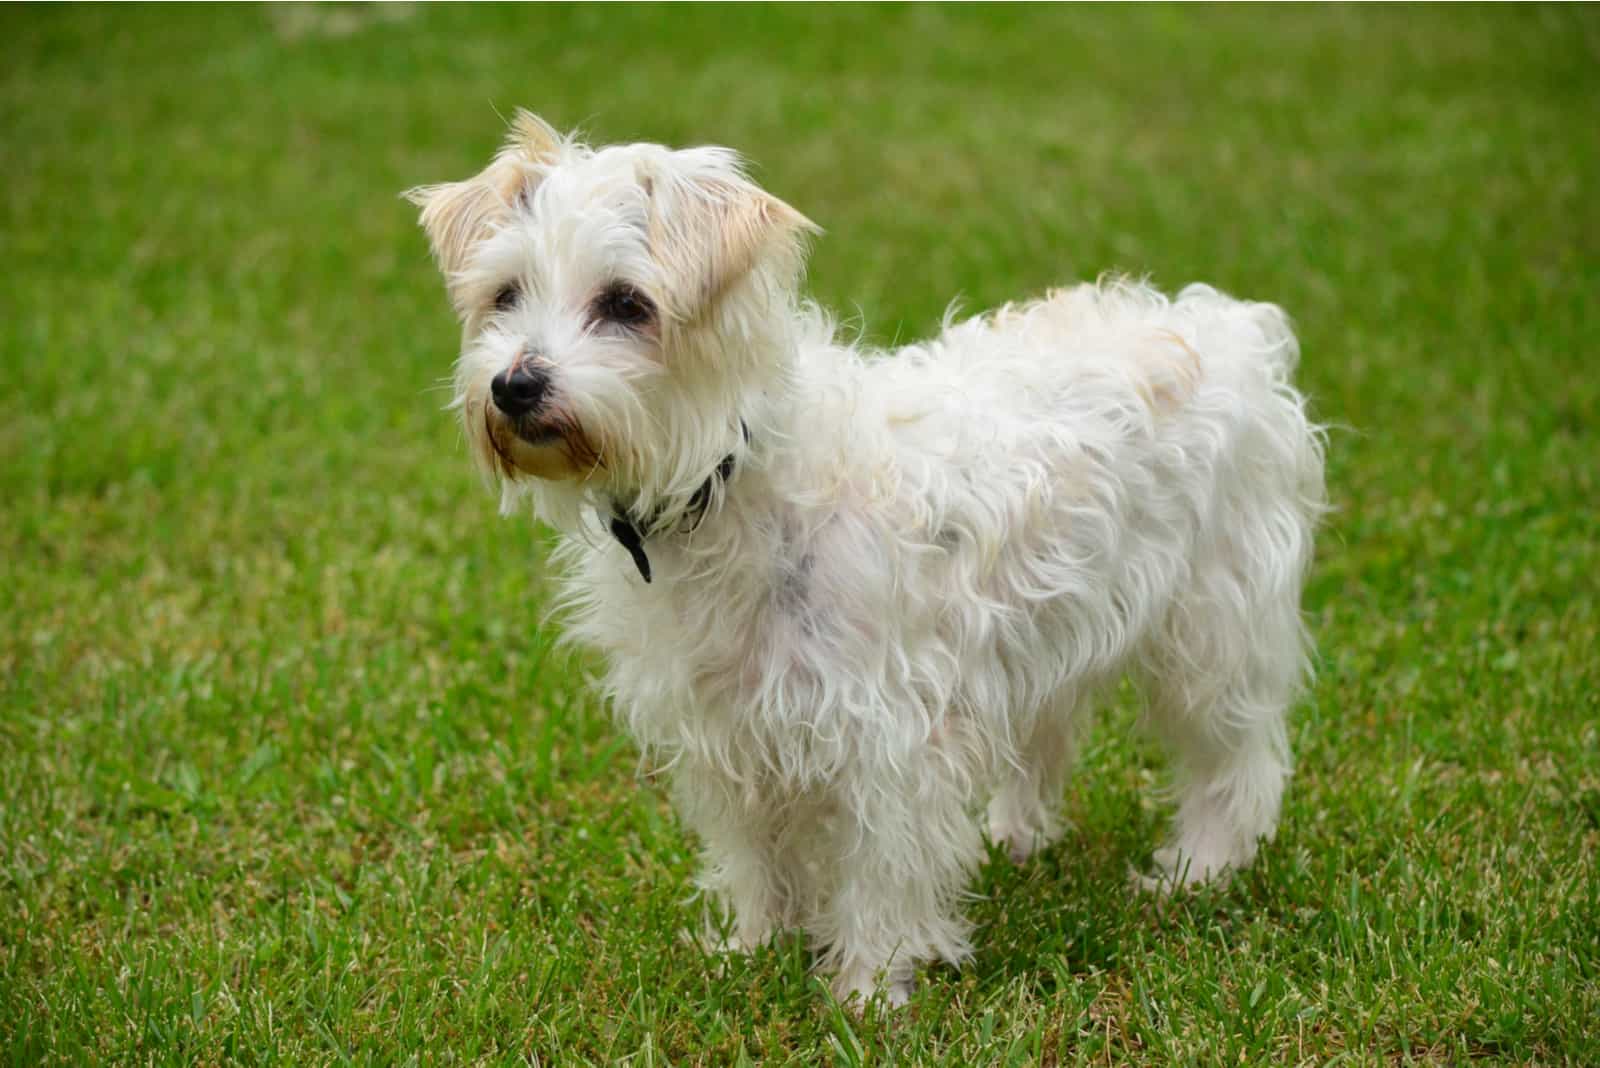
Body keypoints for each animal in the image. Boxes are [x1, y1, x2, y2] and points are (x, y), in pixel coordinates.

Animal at [409, 112, 1324, 1004]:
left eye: (627, 304)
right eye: (505, 295)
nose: (515, 386)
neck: (727, 477)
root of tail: (1230, 327)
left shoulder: (887, 735)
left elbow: (881, 869)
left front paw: (869, 990)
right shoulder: (728, 724)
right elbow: (757, 854)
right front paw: (755, 946)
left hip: (1212, 627)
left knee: (1237, 759)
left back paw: (1197, 869)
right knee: (1047, 730)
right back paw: (1017, 834)